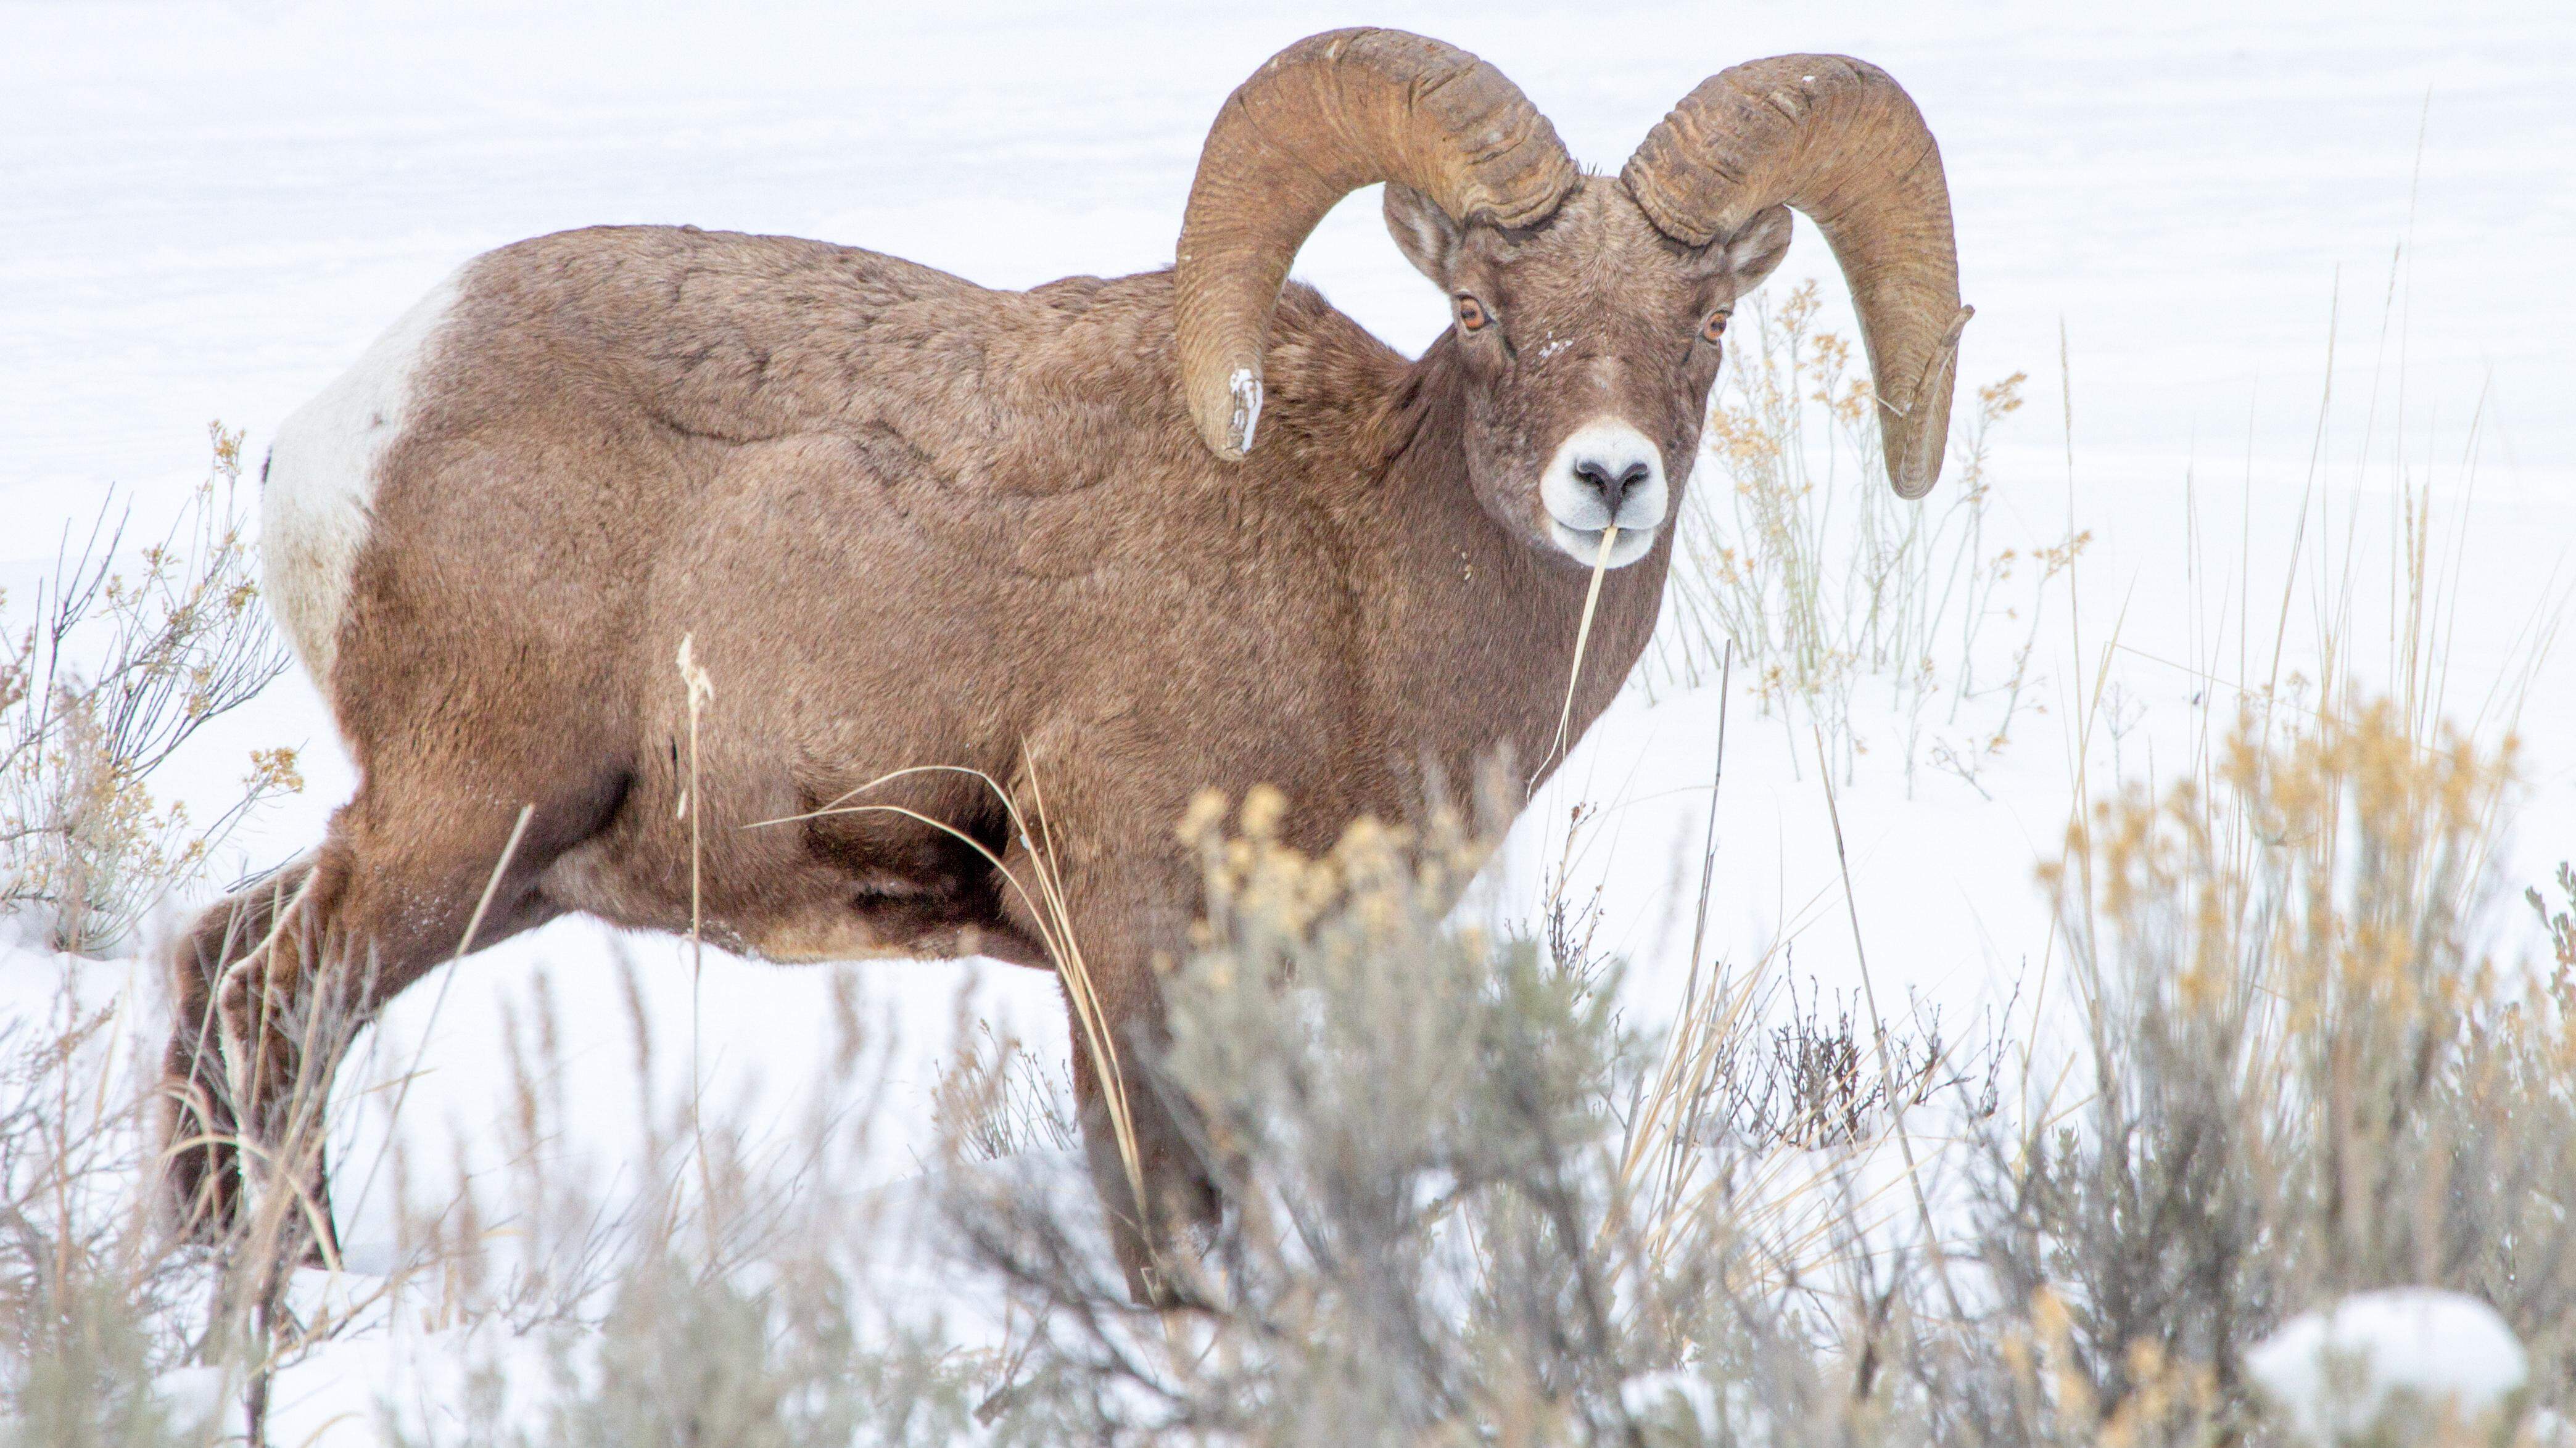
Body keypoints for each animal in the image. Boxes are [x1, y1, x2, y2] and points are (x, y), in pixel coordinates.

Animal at [165, 28, 1969, 1303]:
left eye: (1702, 325)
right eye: (1479, 309)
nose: (1607, 480)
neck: (1357, 586)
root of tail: (346, 430)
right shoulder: (1128, 938)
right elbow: (1164, 1210)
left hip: (505, 862)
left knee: (220, 969)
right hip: (464, 825)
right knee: (275, 1006)